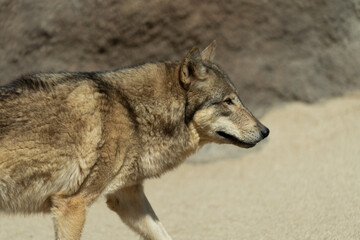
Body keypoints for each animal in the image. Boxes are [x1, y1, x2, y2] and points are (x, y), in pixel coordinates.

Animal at [0, 41, 268, 238]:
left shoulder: (126, 197)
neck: (132, 113)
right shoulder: (71, 205)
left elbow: (163, 234)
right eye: (228, 101)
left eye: (237, 98)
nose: (266, 131)